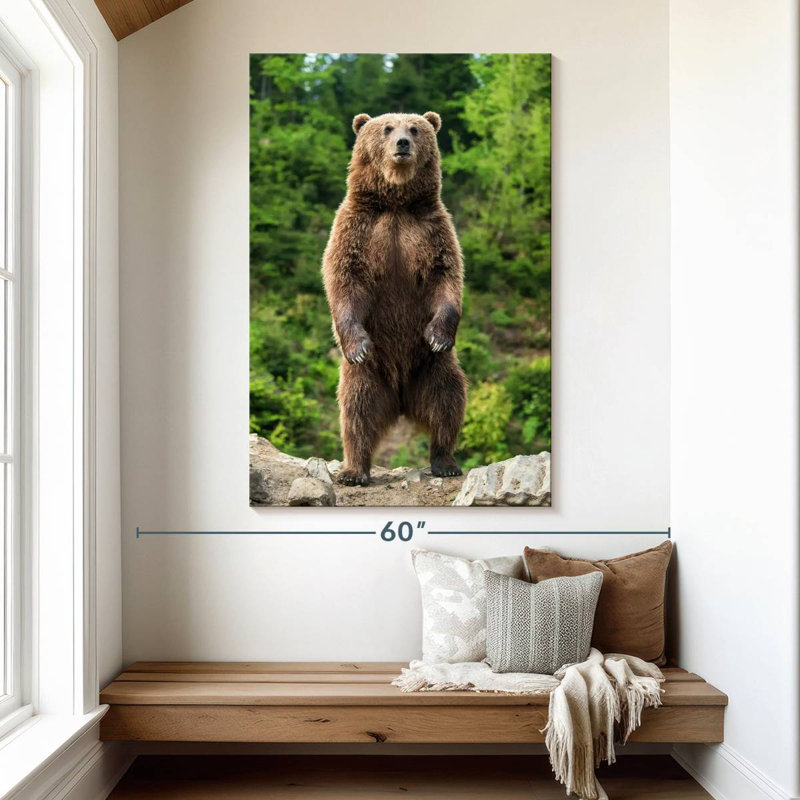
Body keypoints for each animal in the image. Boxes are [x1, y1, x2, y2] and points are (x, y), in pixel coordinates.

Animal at [322, 110, 468, 486]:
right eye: (387, 128)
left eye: (414, 128)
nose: (402, 143)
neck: (396, 203)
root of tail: (401, 400)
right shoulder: (357, 228)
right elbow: (344, 279)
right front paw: (357, 344)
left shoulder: (432, 229)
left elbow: (446, 276)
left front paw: (438, 334)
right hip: (369, 375)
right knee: (356, 412)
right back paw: (354, 470)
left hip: (432, 368)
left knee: (448, 401)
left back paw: (445, 461)